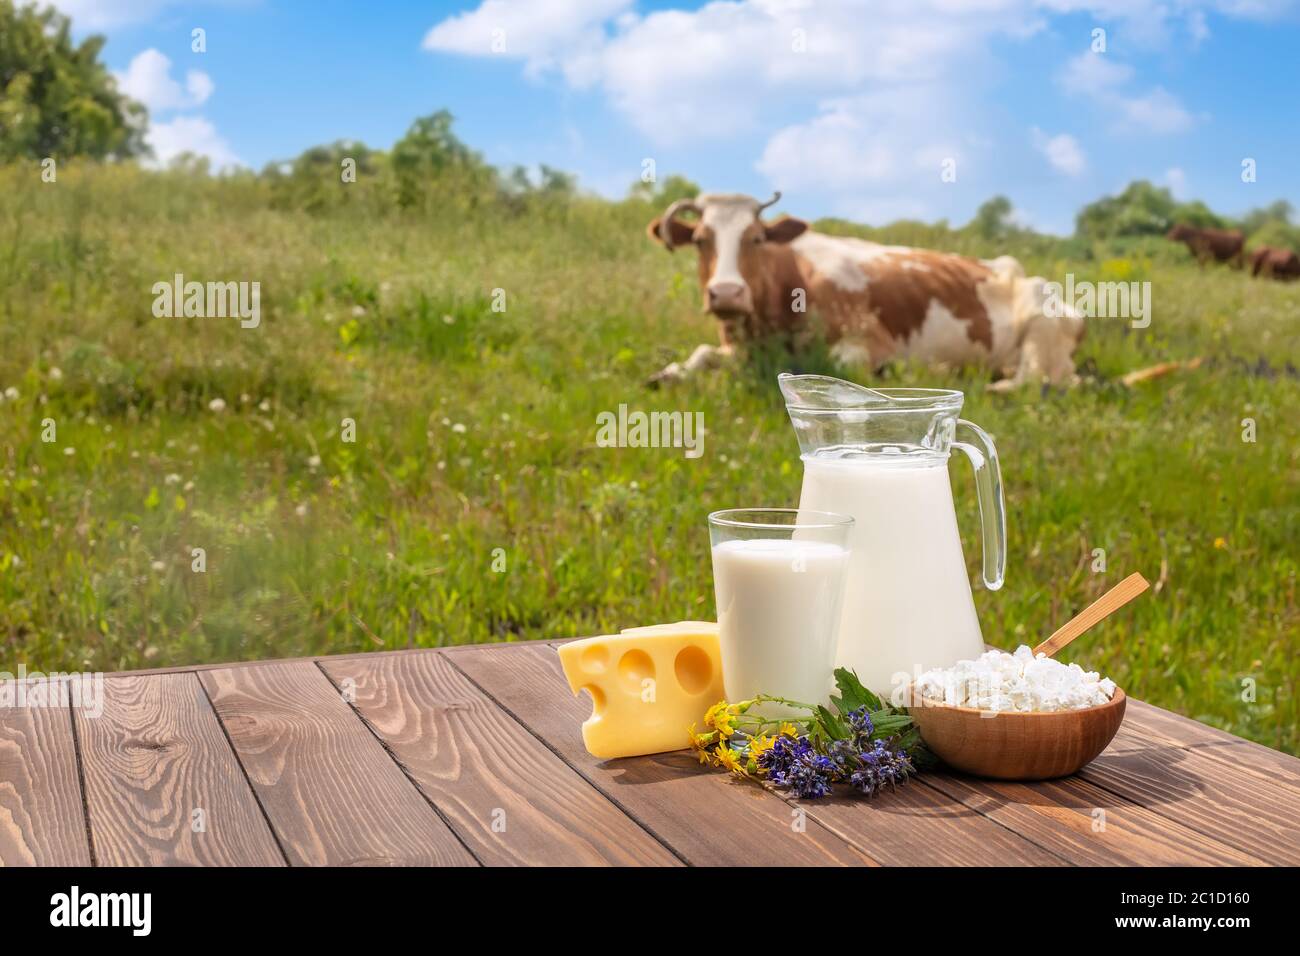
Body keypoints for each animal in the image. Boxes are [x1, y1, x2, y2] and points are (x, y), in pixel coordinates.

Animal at [644, 192, 1081, 390]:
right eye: (700, 240)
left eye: (756, 238)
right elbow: (702, 353)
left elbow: (836, 366)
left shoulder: (870, 342)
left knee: (1036, 381)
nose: (727, 293)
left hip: (1041, 327)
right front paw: (668, 372)